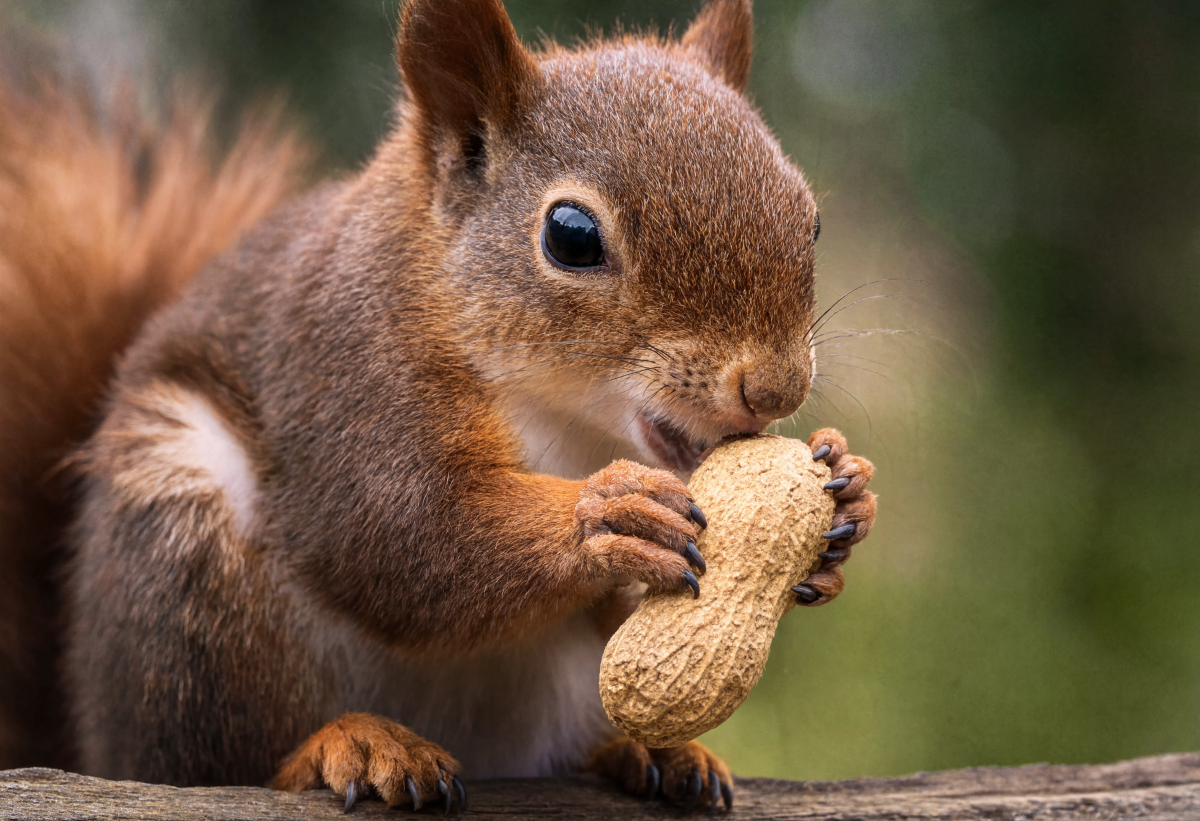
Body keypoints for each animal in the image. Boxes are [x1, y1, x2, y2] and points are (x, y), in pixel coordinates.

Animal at [0, 0, 877, 811]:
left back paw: (647, 750)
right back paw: (348, 743)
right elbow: (401, 532)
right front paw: (606, 517)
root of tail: (94, 734)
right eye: (571, 236)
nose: (774, 387)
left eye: (811, 219)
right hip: (182, 557)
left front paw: (847, 496)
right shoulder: (349, 370)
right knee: (219, 756)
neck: (568, 422)